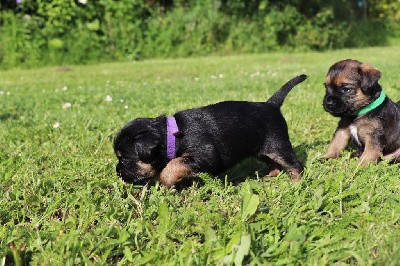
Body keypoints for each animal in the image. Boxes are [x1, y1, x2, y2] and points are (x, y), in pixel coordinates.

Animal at [114, 74, 308, 188]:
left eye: (125, 159)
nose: (117, 172)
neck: (172, 135)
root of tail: (272, 105)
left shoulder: (204, 154)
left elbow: (173, 165)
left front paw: (167, 181)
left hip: (277, 145)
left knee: (295, 164)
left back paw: (296, 184)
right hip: (260, 150)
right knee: (274, 164)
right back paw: (269, 178)